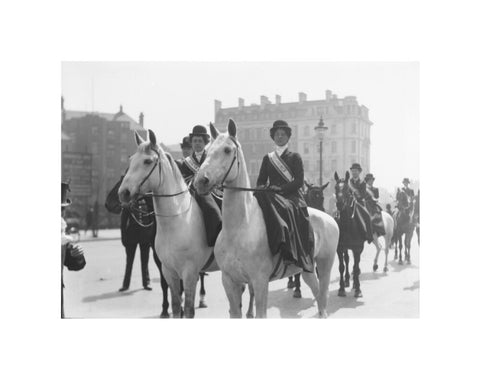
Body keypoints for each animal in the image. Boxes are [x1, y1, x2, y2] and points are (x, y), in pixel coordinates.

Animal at [119, 130, 218, 318]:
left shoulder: (189, 273)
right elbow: (176, 305)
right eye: (131, 159)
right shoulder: (168, 271)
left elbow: (188, 310)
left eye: (147, 161)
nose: (123, 193)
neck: (176, 221)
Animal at [194, 120, 338, 320]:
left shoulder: (260, 281)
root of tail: (329, 218)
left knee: (323, 296)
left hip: (325, 264)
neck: (238, 229)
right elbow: (235, 312)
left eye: (227, 150)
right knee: (317, 293)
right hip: (307, 268)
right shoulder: (229, 281)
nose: (201, 181)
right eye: (207, 150)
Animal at [332, 172, 370, 300]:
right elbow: (341, 266)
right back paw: (347, 280)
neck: (348, 225)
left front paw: (358, 289)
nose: (339, 204)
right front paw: (341, 289)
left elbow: (356, 267)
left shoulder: (358, 248)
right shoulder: (339, 248)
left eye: (347, 189)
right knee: (347, 260)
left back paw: (353, 283)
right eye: (336, 188)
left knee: (354, 265)